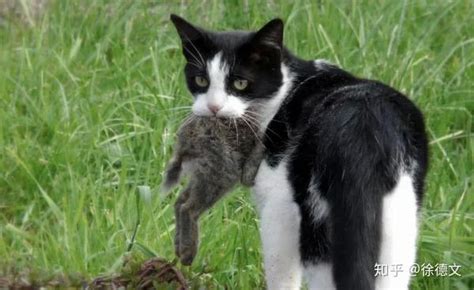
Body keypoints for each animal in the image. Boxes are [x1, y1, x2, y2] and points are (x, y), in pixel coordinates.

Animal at [162, 116, 262, 266]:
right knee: (188, 208)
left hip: (204, 172)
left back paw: (179, 249)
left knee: (180, 202)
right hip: (220, 172)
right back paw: (188, 254)